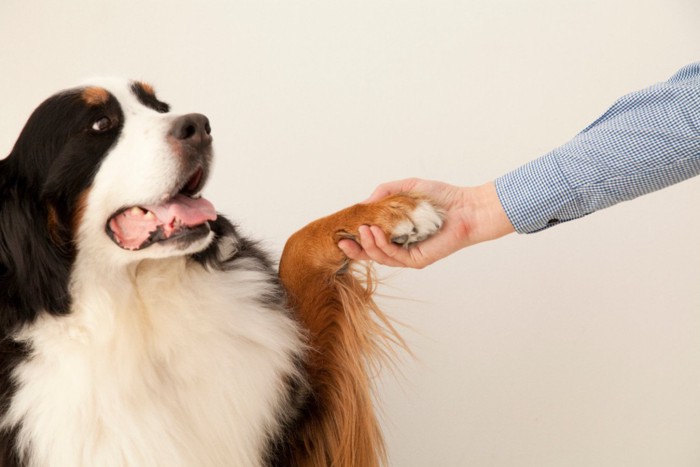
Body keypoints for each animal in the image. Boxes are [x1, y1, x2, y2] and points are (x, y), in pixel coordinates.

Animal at [0, 78, 442, 466]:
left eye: (160, 106)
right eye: (100, 124)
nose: (199, 125)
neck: (137, 308)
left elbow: (298, 246)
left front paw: (389, 211)